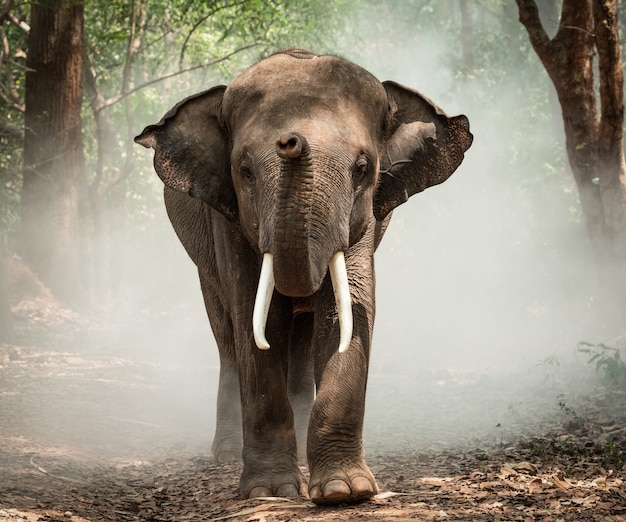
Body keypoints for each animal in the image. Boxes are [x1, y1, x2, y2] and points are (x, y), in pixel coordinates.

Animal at [134, 48, 470, 504]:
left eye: (362, 168)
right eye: (245, 170)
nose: (290, 141)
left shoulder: (364, 217)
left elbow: (345, 312)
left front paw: (345, 492)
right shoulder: (228, 217)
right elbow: (256, 318)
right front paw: (270, 491)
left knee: (302, 335)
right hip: (202, 263)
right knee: (228, 336)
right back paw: (227, 454)